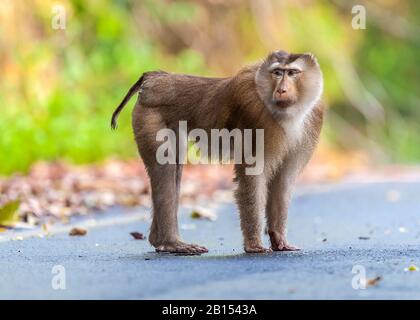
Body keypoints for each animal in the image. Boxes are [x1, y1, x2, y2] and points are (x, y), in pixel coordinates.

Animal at [110, 50, 324, 255]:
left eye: (293, 73)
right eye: (278, 72)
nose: (281, 90)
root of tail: (155, 78)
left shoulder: (313, 120)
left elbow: (283, 181)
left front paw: (279, 240)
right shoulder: (255, 117)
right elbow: (252, 177)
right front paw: (254, 245)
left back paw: (158, 241)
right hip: (150, 117)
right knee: (165, 168)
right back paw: (171, 243)